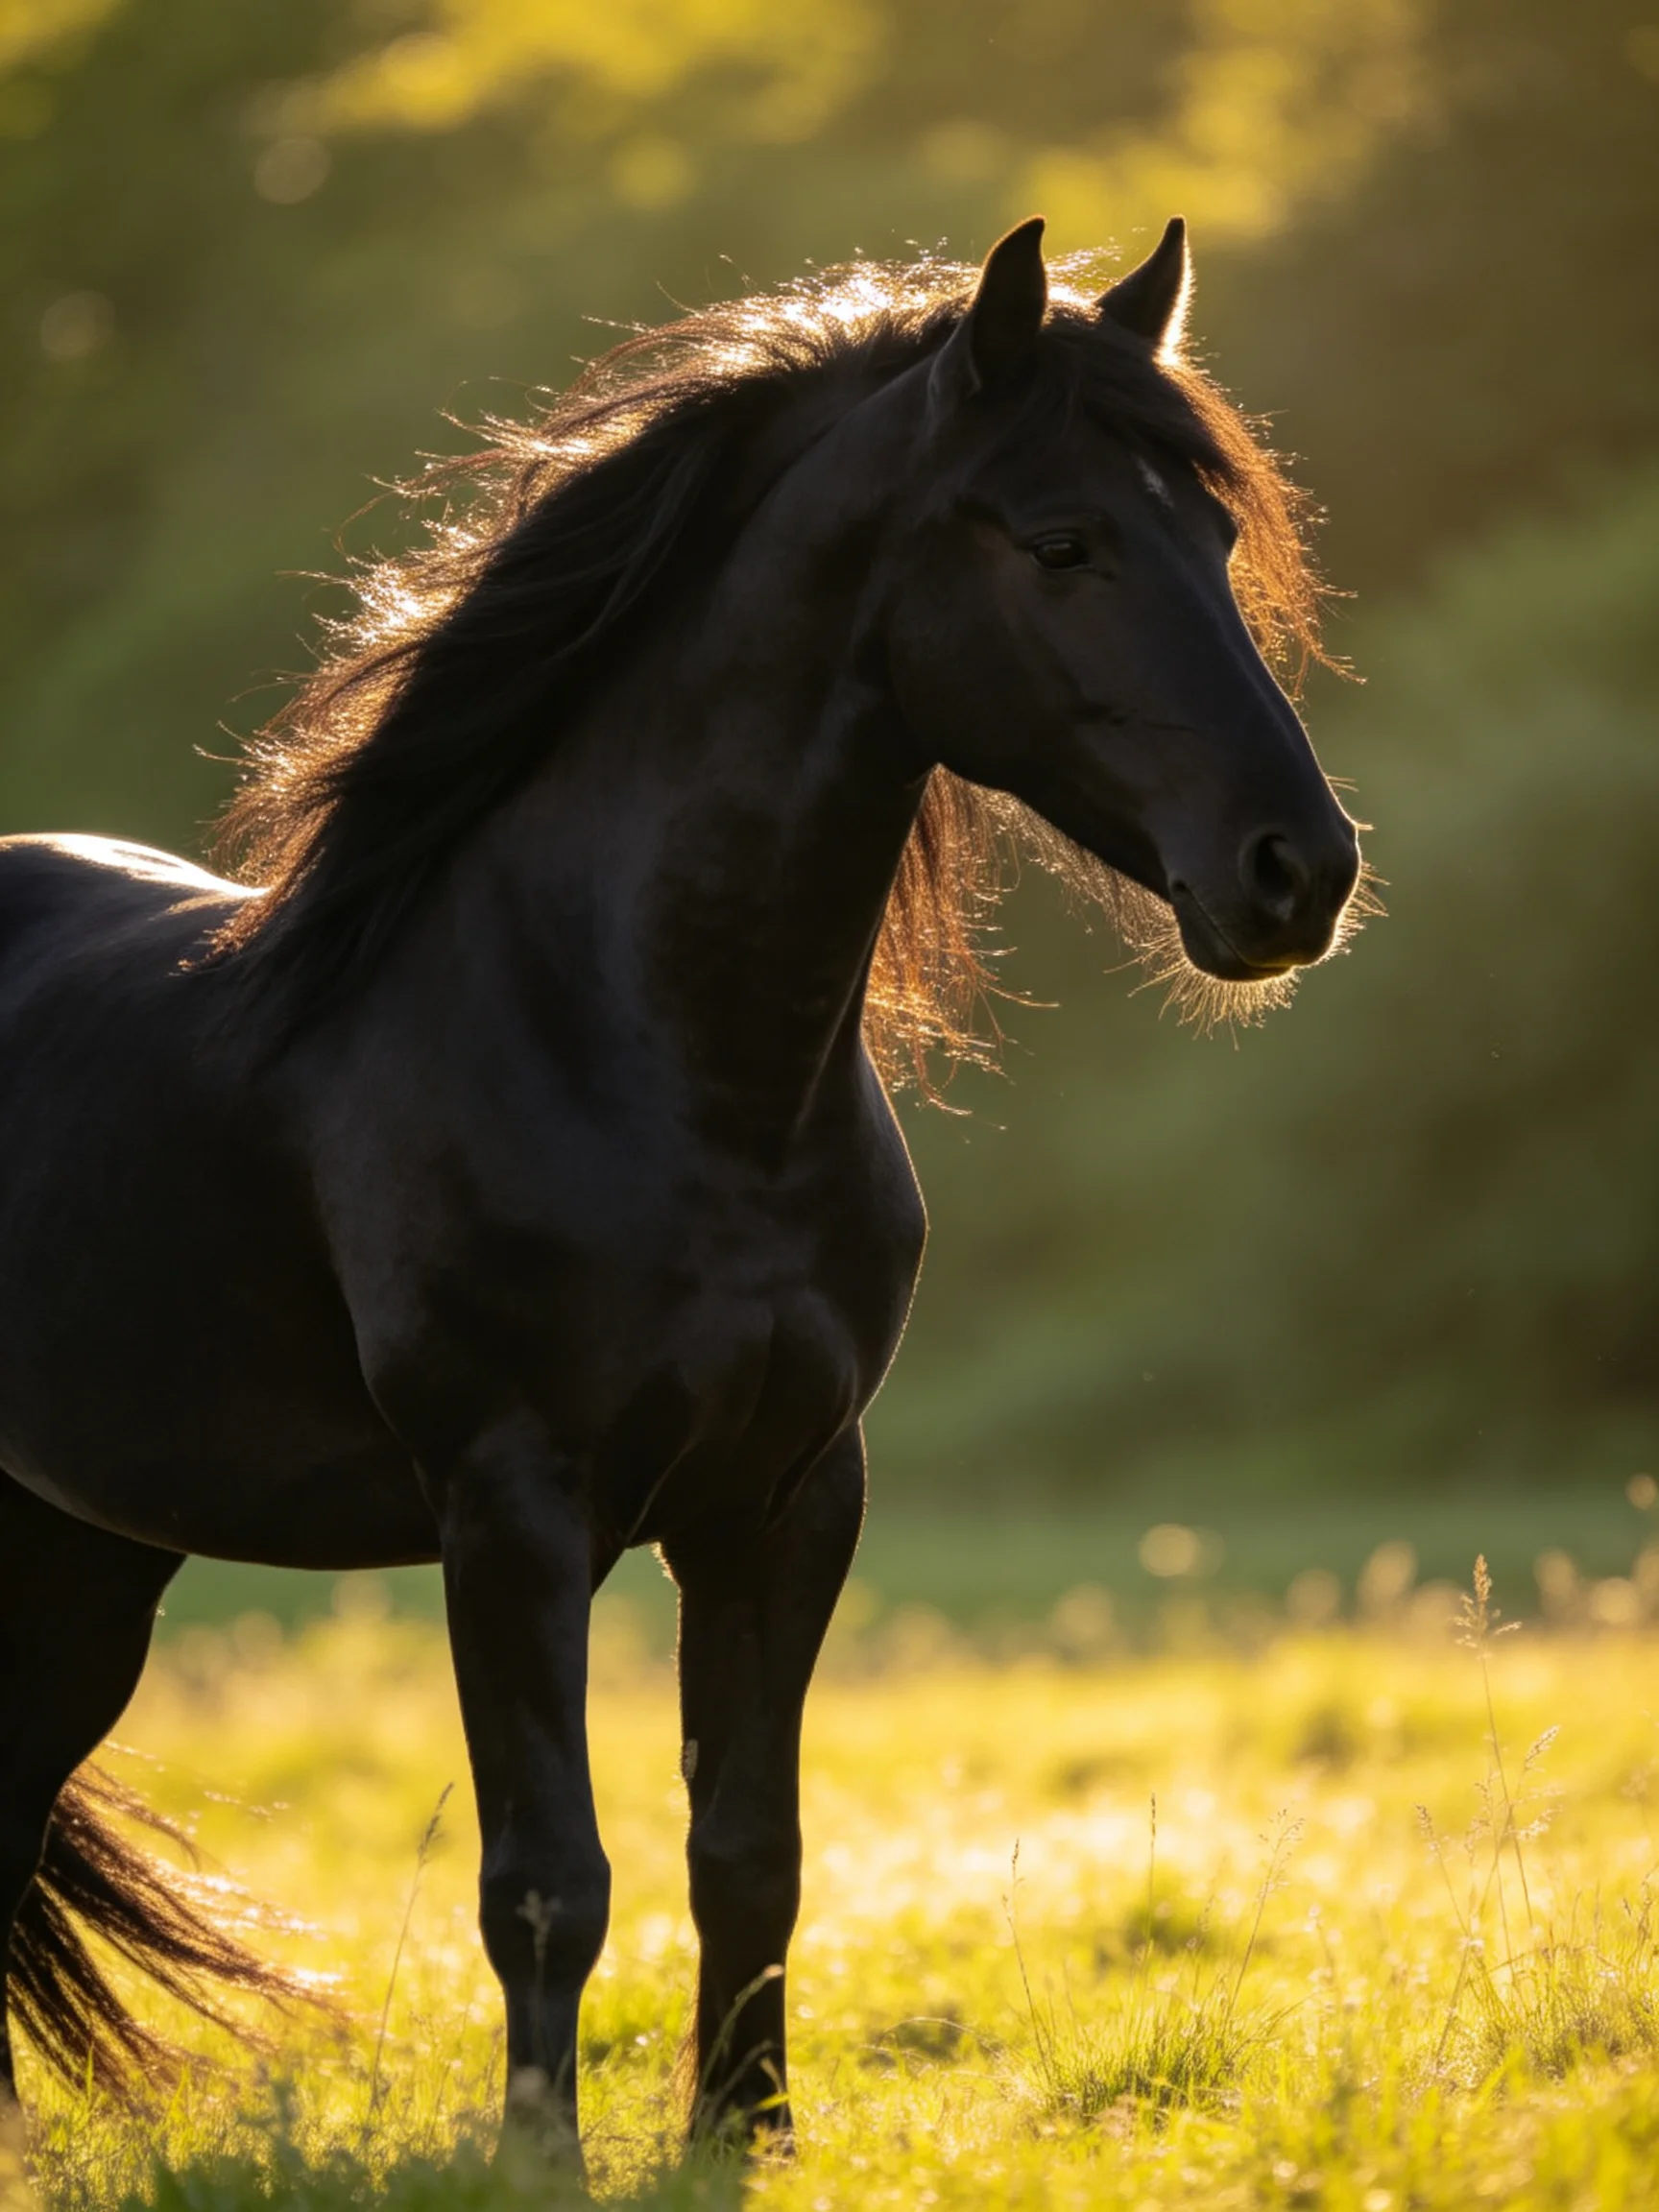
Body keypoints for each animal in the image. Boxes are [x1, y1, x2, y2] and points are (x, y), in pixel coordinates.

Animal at [0, 214, 1361, 2154]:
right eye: (1061, 541)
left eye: (1222, 539)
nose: (1296, 871)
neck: (656, 1058)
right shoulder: (512, 1508)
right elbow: (547, 1880)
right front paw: (538, 2162)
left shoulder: (783, 1502)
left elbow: (748, 1852)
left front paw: (744, 2132)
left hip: (85, 1552)